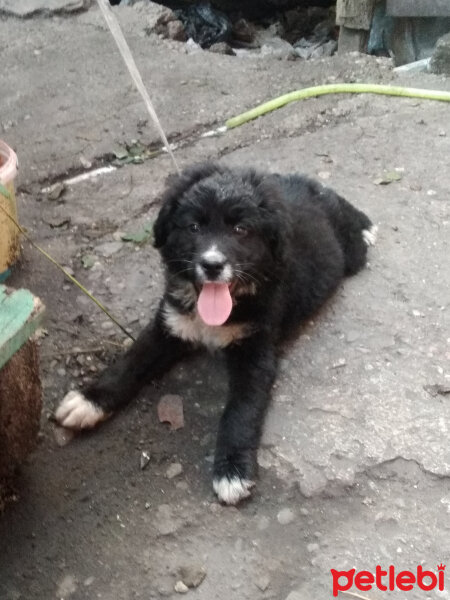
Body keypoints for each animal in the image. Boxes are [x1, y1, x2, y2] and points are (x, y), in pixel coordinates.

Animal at [55, 162, 376, 504]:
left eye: (241, 229)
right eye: (194, 227)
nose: (212, 265)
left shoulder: (255, 352)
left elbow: (241, 410)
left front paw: (232, 470)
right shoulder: (169, 325)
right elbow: (131, 362)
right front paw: (89, 400)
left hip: (350, 255)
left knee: (336, 203)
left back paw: (364, 227)